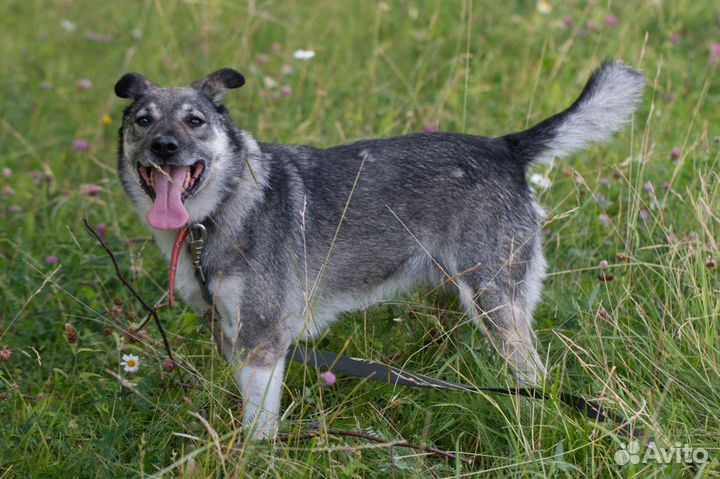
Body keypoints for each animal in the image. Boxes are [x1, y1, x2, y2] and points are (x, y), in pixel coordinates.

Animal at [114, 62, 648, 440]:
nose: (164, 146)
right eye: (142, 121)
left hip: (496, 304)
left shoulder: (263, 340)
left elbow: (258, 430)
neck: (217, 214)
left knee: (536, 375)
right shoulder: (232, 335)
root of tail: (505, 146)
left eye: (195, 121)